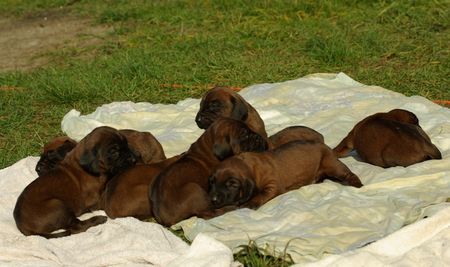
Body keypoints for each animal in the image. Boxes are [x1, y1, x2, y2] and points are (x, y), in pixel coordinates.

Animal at [209, 141, 364, 210]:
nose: (213, 200)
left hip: (332, 164)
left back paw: (357, 184)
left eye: (232, 184)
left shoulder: (272, 184)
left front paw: (251, 202)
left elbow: (262, 194)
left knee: (348, 174)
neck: (250, 166)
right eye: (212, 182)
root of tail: (326, 146)